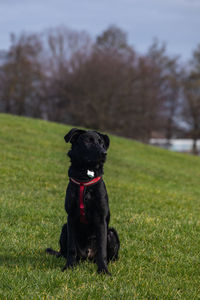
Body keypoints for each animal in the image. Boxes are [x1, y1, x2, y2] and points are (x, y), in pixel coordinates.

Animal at [46, 127, 119, 276]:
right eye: (88, 141)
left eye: (102, 143)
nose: (104, 153)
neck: (85, 176)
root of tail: (87, 255)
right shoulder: (71, 217)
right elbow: (71, 249)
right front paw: (69, 267)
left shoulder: (101, 219)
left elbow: (102, 250)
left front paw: (103, 271)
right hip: (64, 229)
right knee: (65, 252)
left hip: (112, 233)